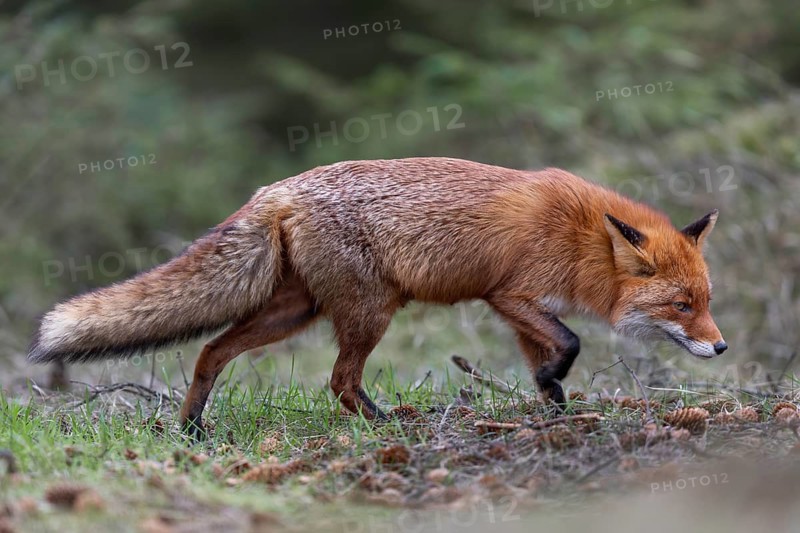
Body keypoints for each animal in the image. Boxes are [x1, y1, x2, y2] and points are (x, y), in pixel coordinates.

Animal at [28, 157, 727, 437]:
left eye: (705, 300)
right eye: (682, 306)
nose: (720, 347)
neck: (580, 235)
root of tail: (276, 189)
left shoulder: (520, 309)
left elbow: (546, 368)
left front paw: (556, 412)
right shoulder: (512, 294)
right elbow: (571, 342)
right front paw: (557, 393)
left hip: (296, 311)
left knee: (210, 352)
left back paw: (192, 430)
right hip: (369, 312)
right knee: (339, 381)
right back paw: (387, 425)